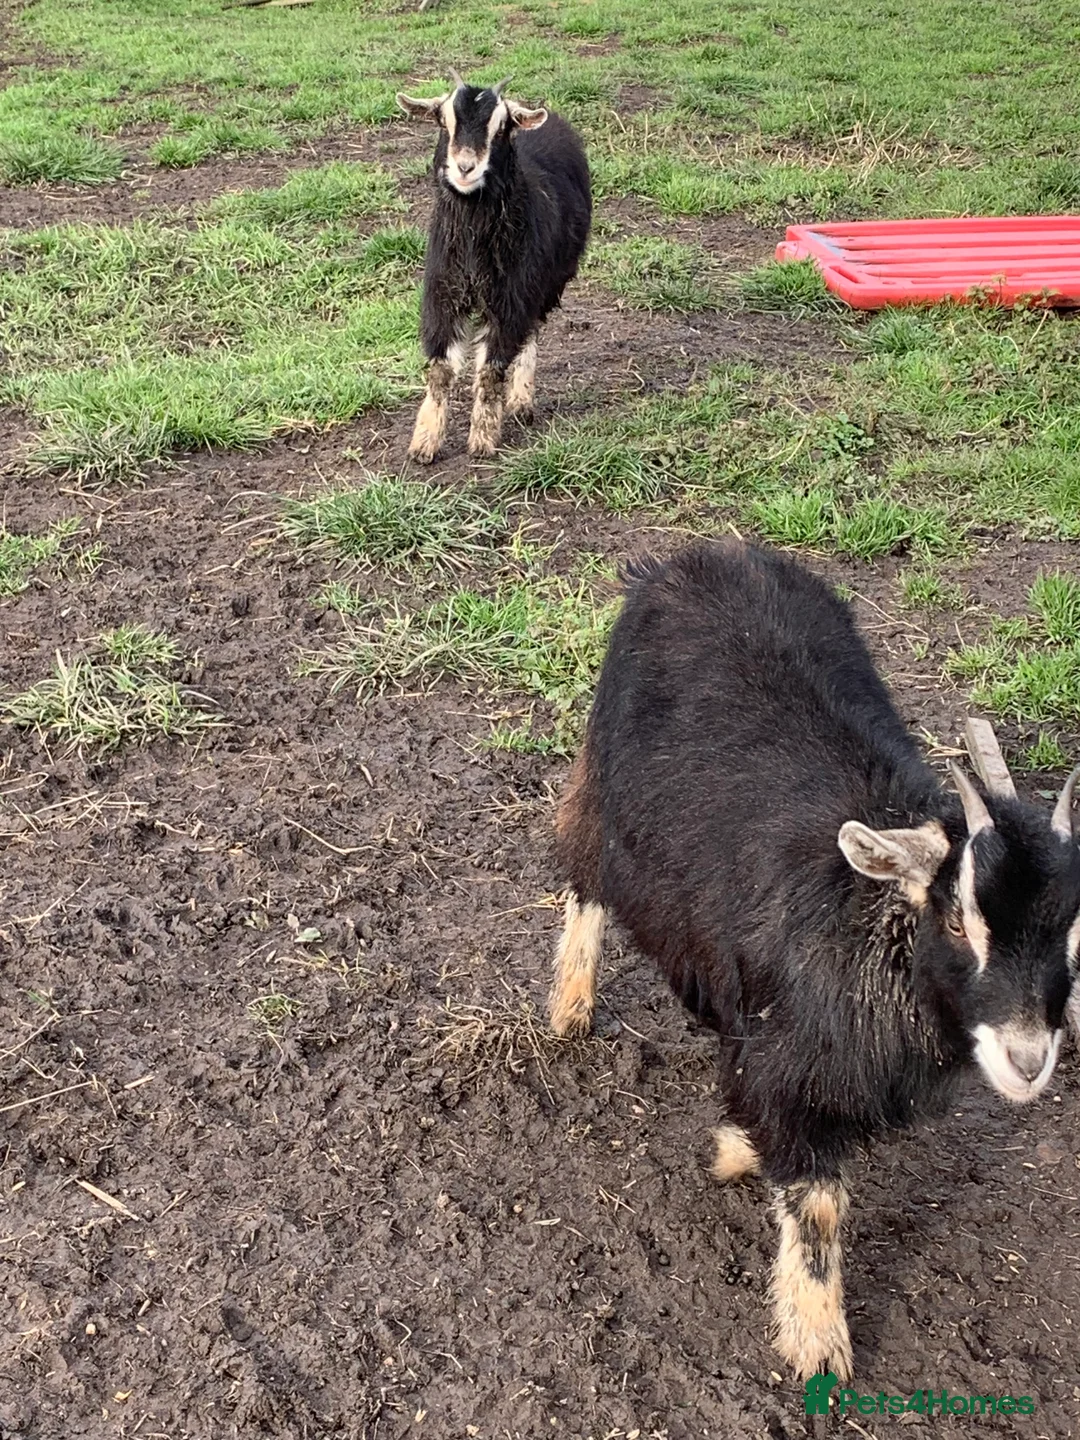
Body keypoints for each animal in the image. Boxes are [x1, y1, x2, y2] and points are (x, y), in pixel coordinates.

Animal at [396, 72, 591, 462]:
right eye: (443, 121)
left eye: (501, 127)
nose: (465, 167)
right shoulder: (442, 295)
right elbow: (440, 369)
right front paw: (424, 442)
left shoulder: (510, 298)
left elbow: (491, 370)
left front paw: (483, 439)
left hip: (545, 284)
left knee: (530, 333)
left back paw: (520, 401)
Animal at [550, 538, 1080, 1382]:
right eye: (956, 920)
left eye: (1072, 925)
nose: (1028, 1059)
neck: (866, 928)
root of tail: (698, 555)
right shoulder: (792, 1074)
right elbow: (819, 1203)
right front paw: (818, 1344)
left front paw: (738, 1149)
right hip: (604, 784)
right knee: (584, 870)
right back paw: (569, 1005)